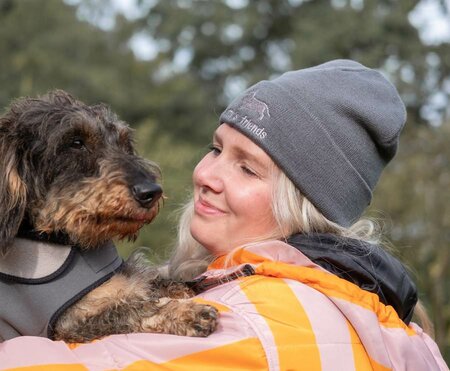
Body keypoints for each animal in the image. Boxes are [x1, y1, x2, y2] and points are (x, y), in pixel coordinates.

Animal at [0, 90, 218, 342]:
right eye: (76, 142)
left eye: (124, 143)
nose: (151, 192)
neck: (70, 244)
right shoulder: (71, 319)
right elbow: (133, 308)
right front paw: (186, 312)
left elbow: (147, 281)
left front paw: (183, 286)